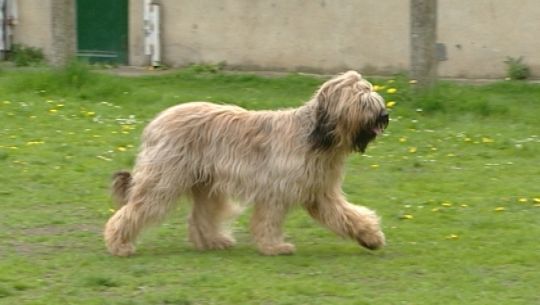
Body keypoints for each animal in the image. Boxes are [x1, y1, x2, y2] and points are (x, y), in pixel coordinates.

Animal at [104, 70, 388, 254]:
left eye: (373, 98)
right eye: (363, 102)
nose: (384, 115)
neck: (315, 137)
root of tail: (156, 122)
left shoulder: (321, 192)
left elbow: (347, 214)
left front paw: (370, 236)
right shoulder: (276, 191)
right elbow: (269, 219)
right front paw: (275, 246)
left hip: (206, 183)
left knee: (200, 215)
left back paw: (214, 241)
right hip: (164, 180)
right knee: (137, 208)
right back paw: (118, 243)